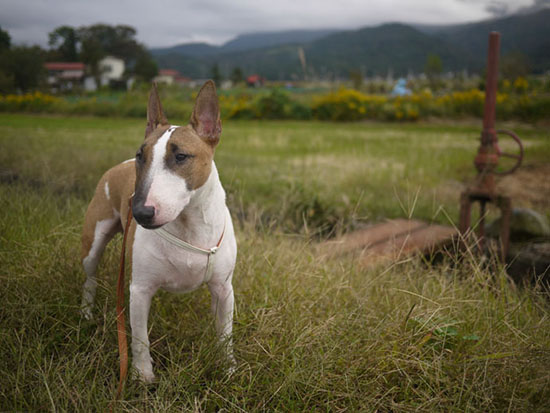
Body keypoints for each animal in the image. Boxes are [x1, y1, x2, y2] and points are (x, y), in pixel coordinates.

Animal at [79, 81, 237, 384]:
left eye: (181, 156)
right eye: (142, 156)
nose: (140, 213)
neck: (187, 223)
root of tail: (120, 164)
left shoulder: (224, 288)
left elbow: (225, 334)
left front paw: (228, 369)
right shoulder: (139, 289)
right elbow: (140, 339)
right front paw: (143, 377)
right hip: (94, 238)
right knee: (90, 275)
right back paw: (86, 313)